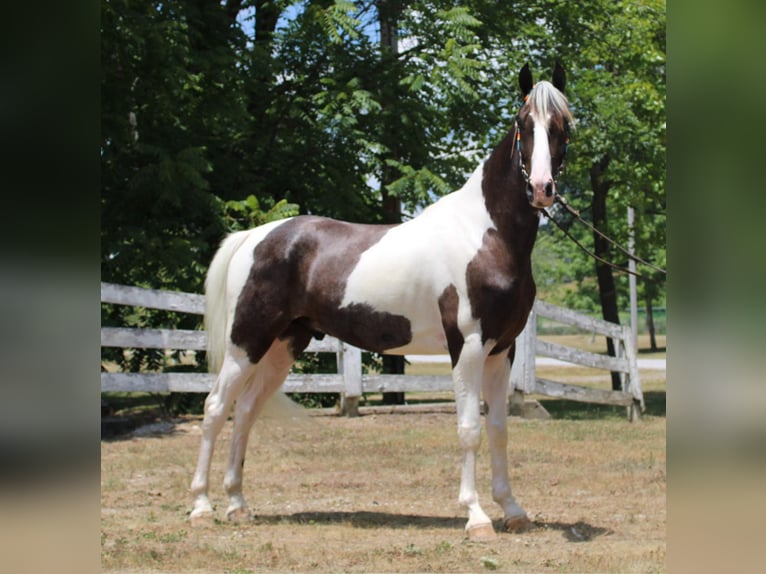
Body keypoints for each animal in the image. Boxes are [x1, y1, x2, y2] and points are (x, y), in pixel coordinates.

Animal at [192, 64, 576, 544]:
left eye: (563, 126)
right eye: (523, 124)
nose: (542, 189)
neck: (486, 235)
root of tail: (253, 237)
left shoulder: (502, 350)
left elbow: (499, 429)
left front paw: (512, 510)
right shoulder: (468, 347)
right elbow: (469, 428)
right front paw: (476, 517)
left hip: (283, 344)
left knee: (245, 413)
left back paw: (238, 505)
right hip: (246, 341)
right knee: (215, 409)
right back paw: (202, 506)